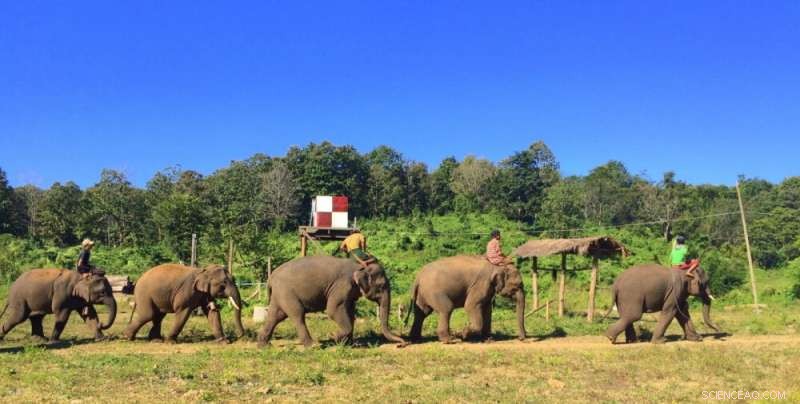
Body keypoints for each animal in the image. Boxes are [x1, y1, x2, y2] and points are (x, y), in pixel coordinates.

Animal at [257, 256, 406, 348]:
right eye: (381, 286)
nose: (401, 344)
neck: (359, 266)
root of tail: (271, 277)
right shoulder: (341, 285)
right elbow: (333, 310)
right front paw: (333, 336)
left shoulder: (350, 291)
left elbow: (350, 312)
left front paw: (348, 344)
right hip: (287, 293)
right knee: (297, 315)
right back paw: (313, 346)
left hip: (279, 295)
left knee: (275, 316)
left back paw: (264, 345)